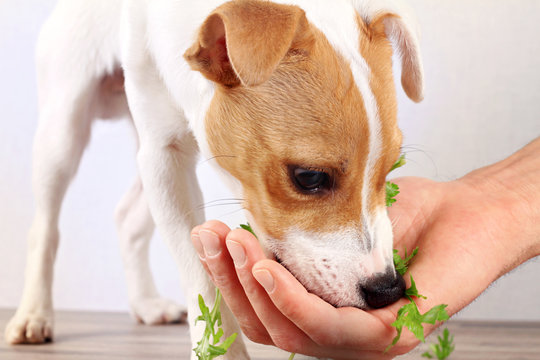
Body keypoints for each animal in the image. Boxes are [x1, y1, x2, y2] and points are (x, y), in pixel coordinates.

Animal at [6, 0, 424, 358]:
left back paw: (146, 303)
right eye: (309, 177)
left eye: (389, 169)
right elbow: (198, 273)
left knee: (128, 219)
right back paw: (33, 314)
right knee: (44, 227)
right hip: (64, 126)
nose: (387, 289)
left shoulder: (163, 153)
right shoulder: (164, 153)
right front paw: (220, 350)